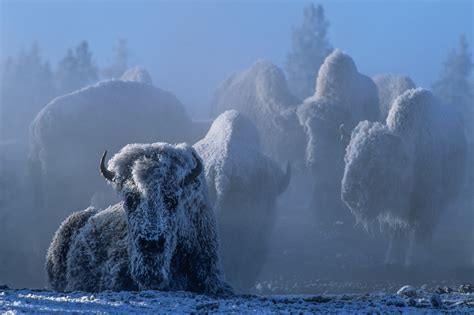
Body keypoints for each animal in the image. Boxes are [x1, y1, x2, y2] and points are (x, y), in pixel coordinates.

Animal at [340, 89, 466, 266]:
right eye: (347, 157)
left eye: (375, 161)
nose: (349, 195)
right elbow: (397, 234)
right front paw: (392, 259)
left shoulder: (427, 207)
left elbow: (419, 235)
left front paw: (415, 260)